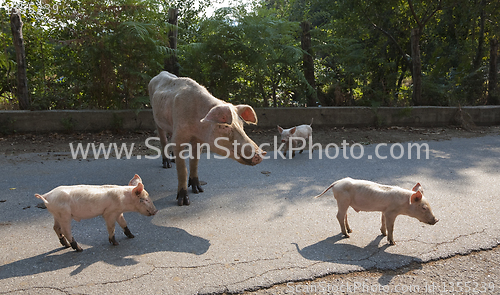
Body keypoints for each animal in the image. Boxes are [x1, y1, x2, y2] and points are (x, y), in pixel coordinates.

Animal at [148, 71, 266, 206]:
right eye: (225, 126)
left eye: (241, 125)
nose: (261, 153)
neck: (197, 124)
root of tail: (159, 74)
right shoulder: (179, 137)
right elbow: (182, 169)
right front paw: (184, 202)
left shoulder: (199, 140)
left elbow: (194, 162)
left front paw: (199, 190)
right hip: (155, 117)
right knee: (163, 139)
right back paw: (167, 164)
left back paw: (173, 160)